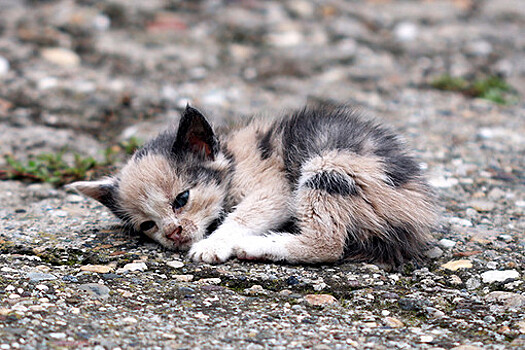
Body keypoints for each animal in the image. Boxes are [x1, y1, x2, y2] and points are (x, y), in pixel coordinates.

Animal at [69, 105, 438, 266]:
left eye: (182, 199)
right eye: (148, 225)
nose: (173, 233)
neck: (231, 158)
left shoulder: (274, 189)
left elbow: (241, 216)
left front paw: (214, 244)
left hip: (328, 166)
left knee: (327, 245)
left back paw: (255, 245)